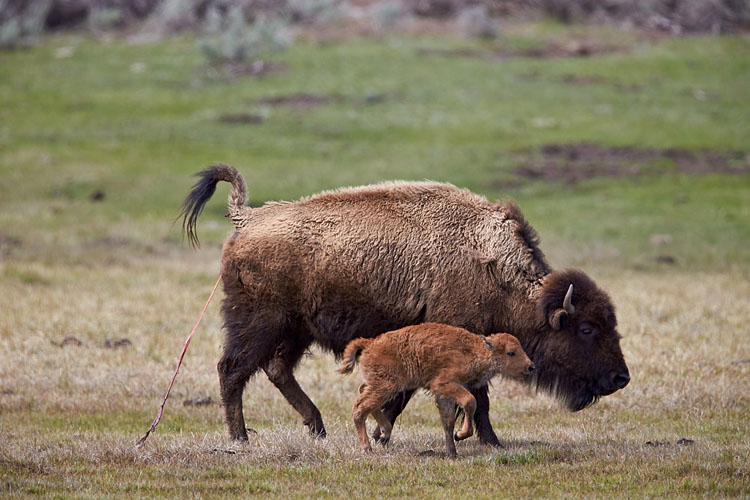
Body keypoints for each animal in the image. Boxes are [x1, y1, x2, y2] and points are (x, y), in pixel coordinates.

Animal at [340, 324, 536, 458]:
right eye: (511, 352)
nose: (531, 367)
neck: (475, 350)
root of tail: (370, 343)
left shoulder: (445, 395)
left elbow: (447, 421)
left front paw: (452, 452)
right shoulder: (444, 384)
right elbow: (469, 402)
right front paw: (460, 436)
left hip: (383, 385)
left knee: (363, 393)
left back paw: (384, 433)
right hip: (386, 386)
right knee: (360, 406)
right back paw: (367, 448)